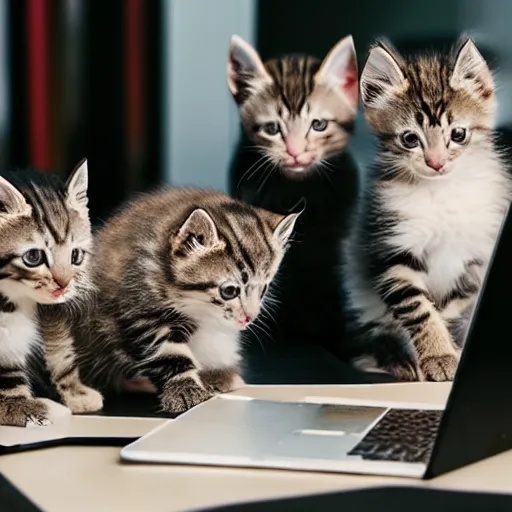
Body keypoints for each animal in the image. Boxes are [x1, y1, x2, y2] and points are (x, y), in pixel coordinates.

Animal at [0, 161, 103, 428]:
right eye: (33, 257)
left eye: (76, 255)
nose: (63, 284)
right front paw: (24, 407)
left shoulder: (52, 308)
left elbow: (59, 346)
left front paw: (75, 392)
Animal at [61, 188, 296, 412]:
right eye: (229, 291)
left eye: (263, 289)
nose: (250, 317)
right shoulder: (138, 308)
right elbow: (167, 351)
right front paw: (184, 390)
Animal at [340, 38, 512, 380]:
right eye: (410, 139)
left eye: (458, 134)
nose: (436, 162)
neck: (442, 190)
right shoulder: (394, 248)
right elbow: (419, 310)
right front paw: (438, 354)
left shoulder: (477, 259)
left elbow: (451, 309)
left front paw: (448, 350)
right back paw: (395, 359)